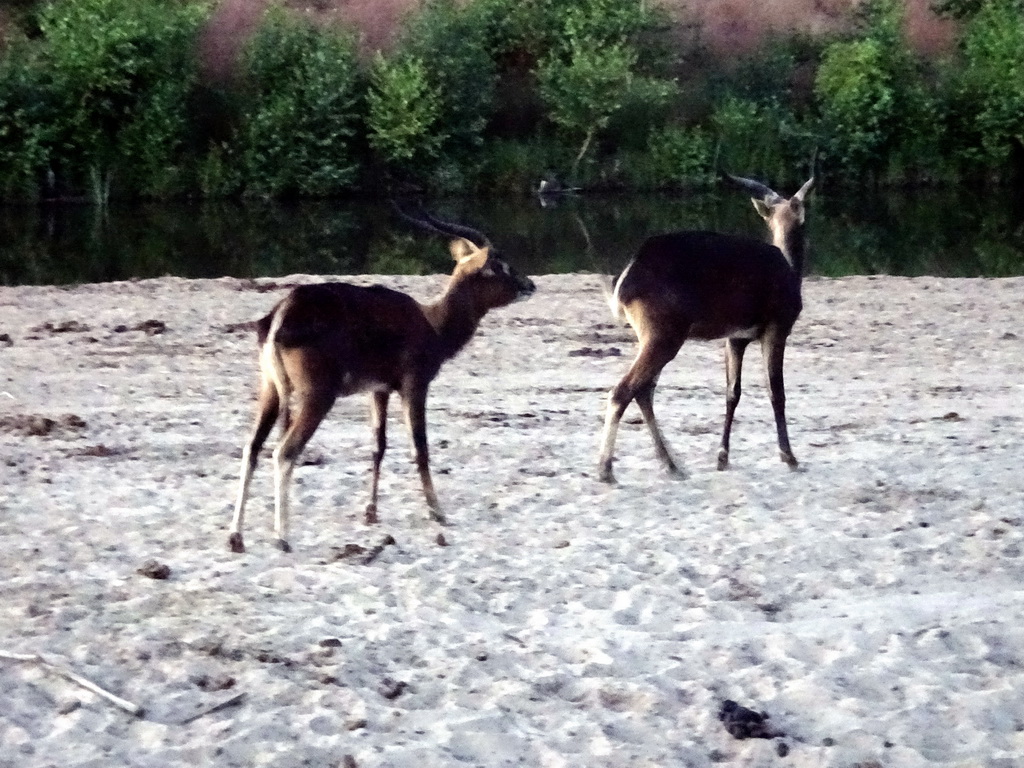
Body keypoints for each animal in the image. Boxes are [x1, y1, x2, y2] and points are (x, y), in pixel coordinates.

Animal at [230, 205, 536, 552]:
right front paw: (438, 512)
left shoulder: (378, 390)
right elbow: (420, 447)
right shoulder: (415, 385)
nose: (530, 284)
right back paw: (282, 537)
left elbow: (378, 446)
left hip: (270, 389)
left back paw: (236, 537)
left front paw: (371, 512)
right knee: (284, 451)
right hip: (317, 396)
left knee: (252, 448)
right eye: (500, 265)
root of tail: (282, 313)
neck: (432, 325)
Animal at [598, 177, 811, 483]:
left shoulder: (735, 337)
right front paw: (790, 458)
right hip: (664, 334)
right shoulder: (777, 327)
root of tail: (625, 279)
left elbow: (732, 392)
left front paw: (722, 458)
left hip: (654, 335)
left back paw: (673, 465)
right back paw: (606, 470)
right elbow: (776, 391)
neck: (791, 269)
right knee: (623, 390)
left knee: (644, 390)